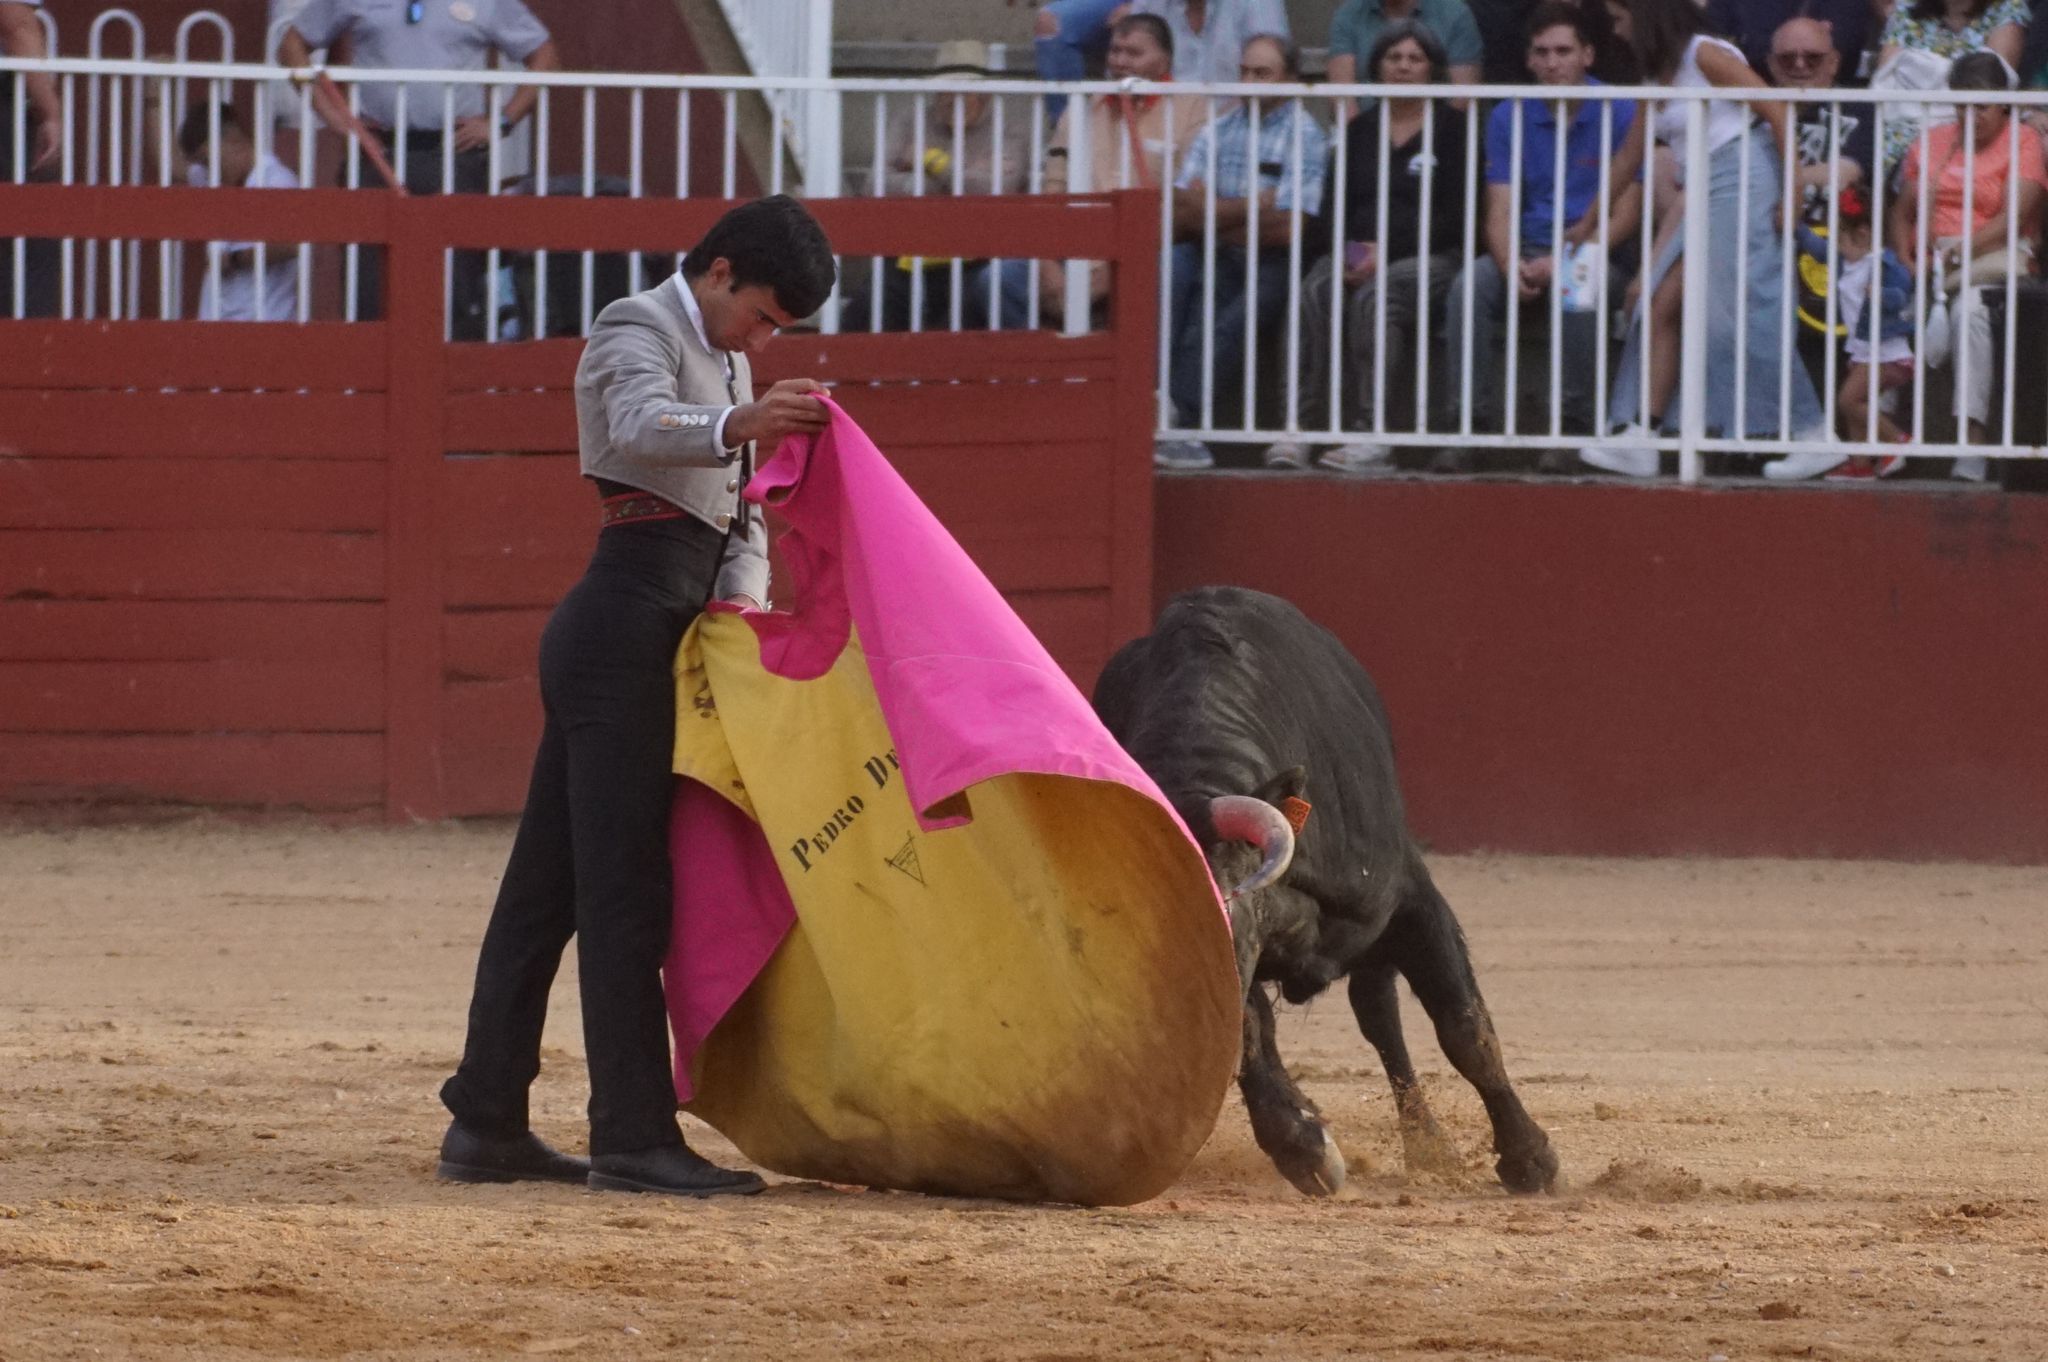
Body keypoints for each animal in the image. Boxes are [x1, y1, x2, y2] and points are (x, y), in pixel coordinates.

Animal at [1097, 581, 1556, 1187]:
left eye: (1219, 912)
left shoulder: (1412, 902)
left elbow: (1465, 1027)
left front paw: (1530, 1158)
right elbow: (1253, 1031)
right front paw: (1303, 1145)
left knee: (1381, 1016)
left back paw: (1429, 1146)